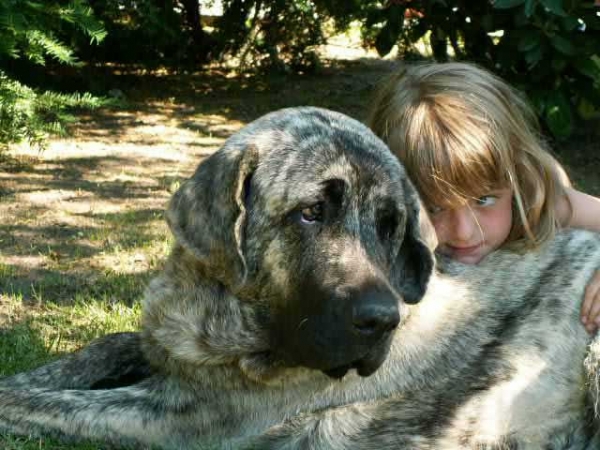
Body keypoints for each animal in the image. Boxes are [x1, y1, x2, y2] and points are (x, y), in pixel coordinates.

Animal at [1, 107, 600, 448]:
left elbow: (48, 405)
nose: (382, 321)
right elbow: (101, 347)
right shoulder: (162, 355)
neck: (216, 305)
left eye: (389, 226)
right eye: (311, 213)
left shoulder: (180, 414)